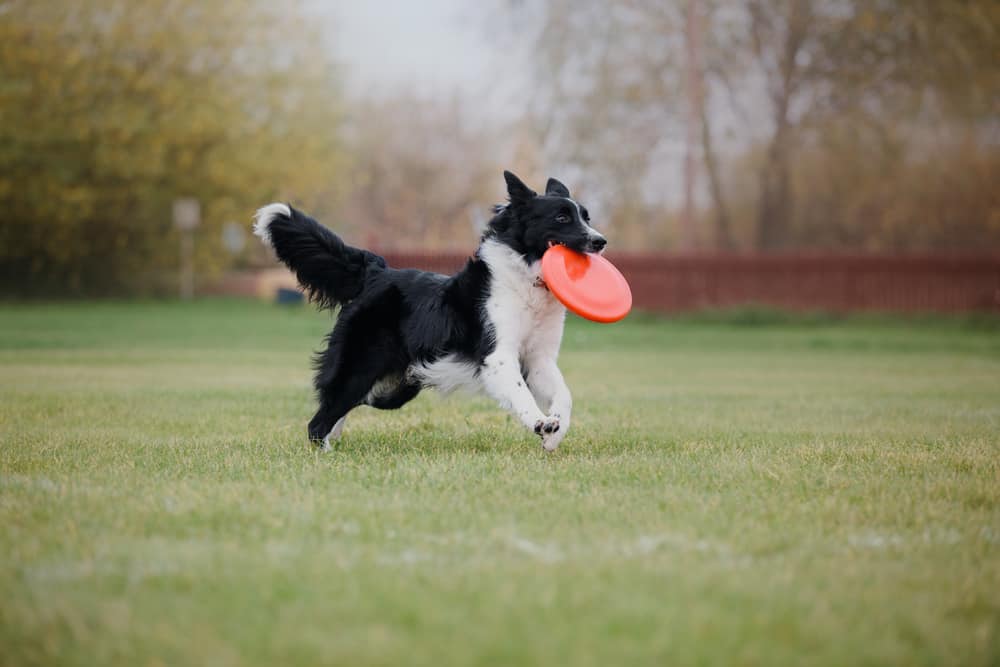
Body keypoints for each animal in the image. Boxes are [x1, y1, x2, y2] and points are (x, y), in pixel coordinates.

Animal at [254, 172, 604, 454]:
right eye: (561, 218)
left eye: (586, 217)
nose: (600, 241)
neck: (526, 280)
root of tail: (374, 271)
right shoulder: (498, 358)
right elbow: (520, 394)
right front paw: (540, 423)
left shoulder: (538, 359)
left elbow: (565, 395)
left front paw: (555, 434)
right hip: (361, 366)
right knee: (319, 420)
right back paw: (325, 453)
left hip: (396, 386)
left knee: (344, 406)